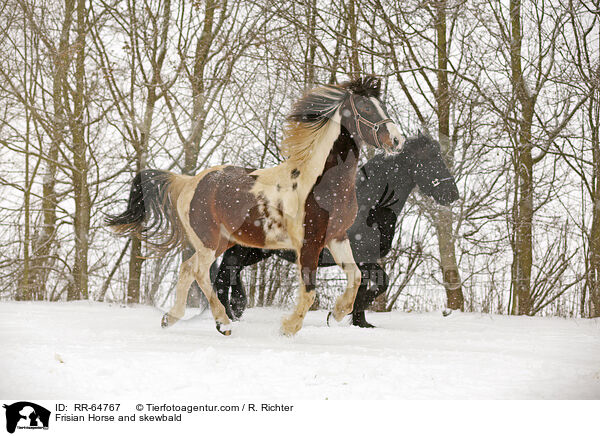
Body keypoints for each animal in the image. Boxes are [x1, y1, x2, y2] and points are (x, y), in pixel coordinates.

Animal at [109, 76, 404, 336]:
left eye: (382, 105)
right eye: (366, 108)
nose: (397, 140)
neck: (320, 184)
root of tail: (188, 181)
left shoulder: (337, 236)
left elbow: (355, 278)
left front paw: (337, 314)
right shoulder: (309, 243)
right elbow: (309, 292)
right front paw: (288, 328)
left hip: (222, 241)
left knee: (188, 268)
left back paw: (171, 318)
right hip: (209, 240)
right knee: (200, 273)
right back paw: (223, 324)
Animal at [211, 133, 460, 328]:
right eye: (430, 158)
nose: (452, 193)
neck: (369, 207)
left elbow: (365, 286)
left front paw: (359, 321)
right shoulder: (363, 258)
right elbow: (381, 284)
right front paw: (337, 315)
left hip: (255, 252)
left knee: (230, 275)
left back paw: (236, 310)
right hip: (242, 251)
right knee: (223, 278)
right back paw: (228, 318)